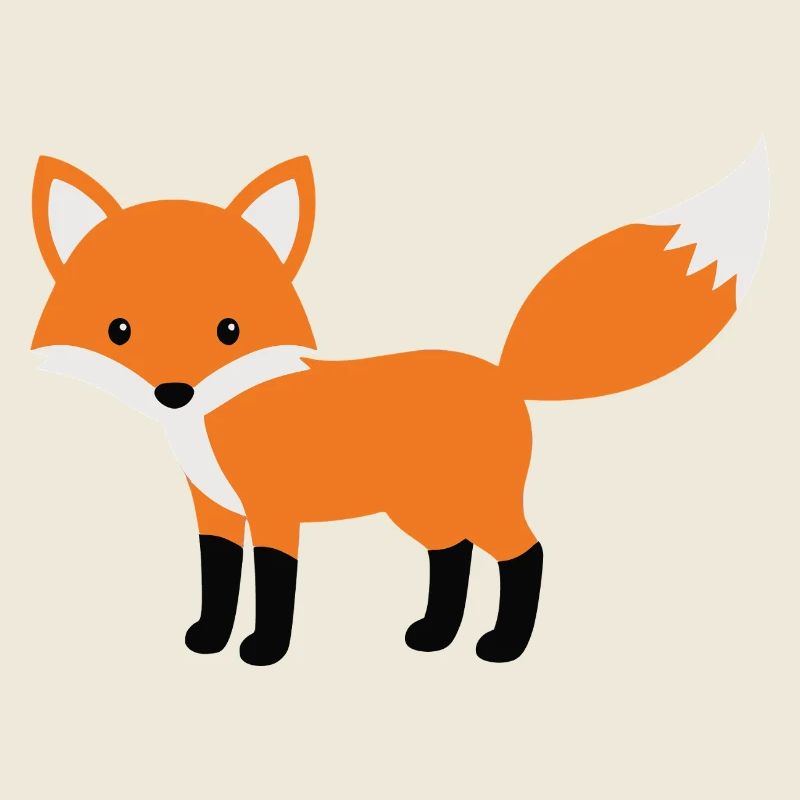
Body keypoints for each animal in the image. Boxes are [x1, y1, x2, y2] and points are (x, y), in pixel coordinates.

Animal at [31, 143, 769, 665]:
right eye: (119, 330)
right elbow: (218, 579)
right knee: (452, 556)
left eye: (229, 330)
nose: (174, 392)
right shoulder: (214, 510)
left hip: (479, 501)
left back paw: (503, 647)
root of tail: (504, 374)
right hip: (421, 508)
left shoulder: (273, 510)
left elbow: (273, 587)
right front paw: (209, 639)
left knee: (525, 553)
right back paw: (435, 634)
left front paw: (263, 651)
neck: (213, 421)